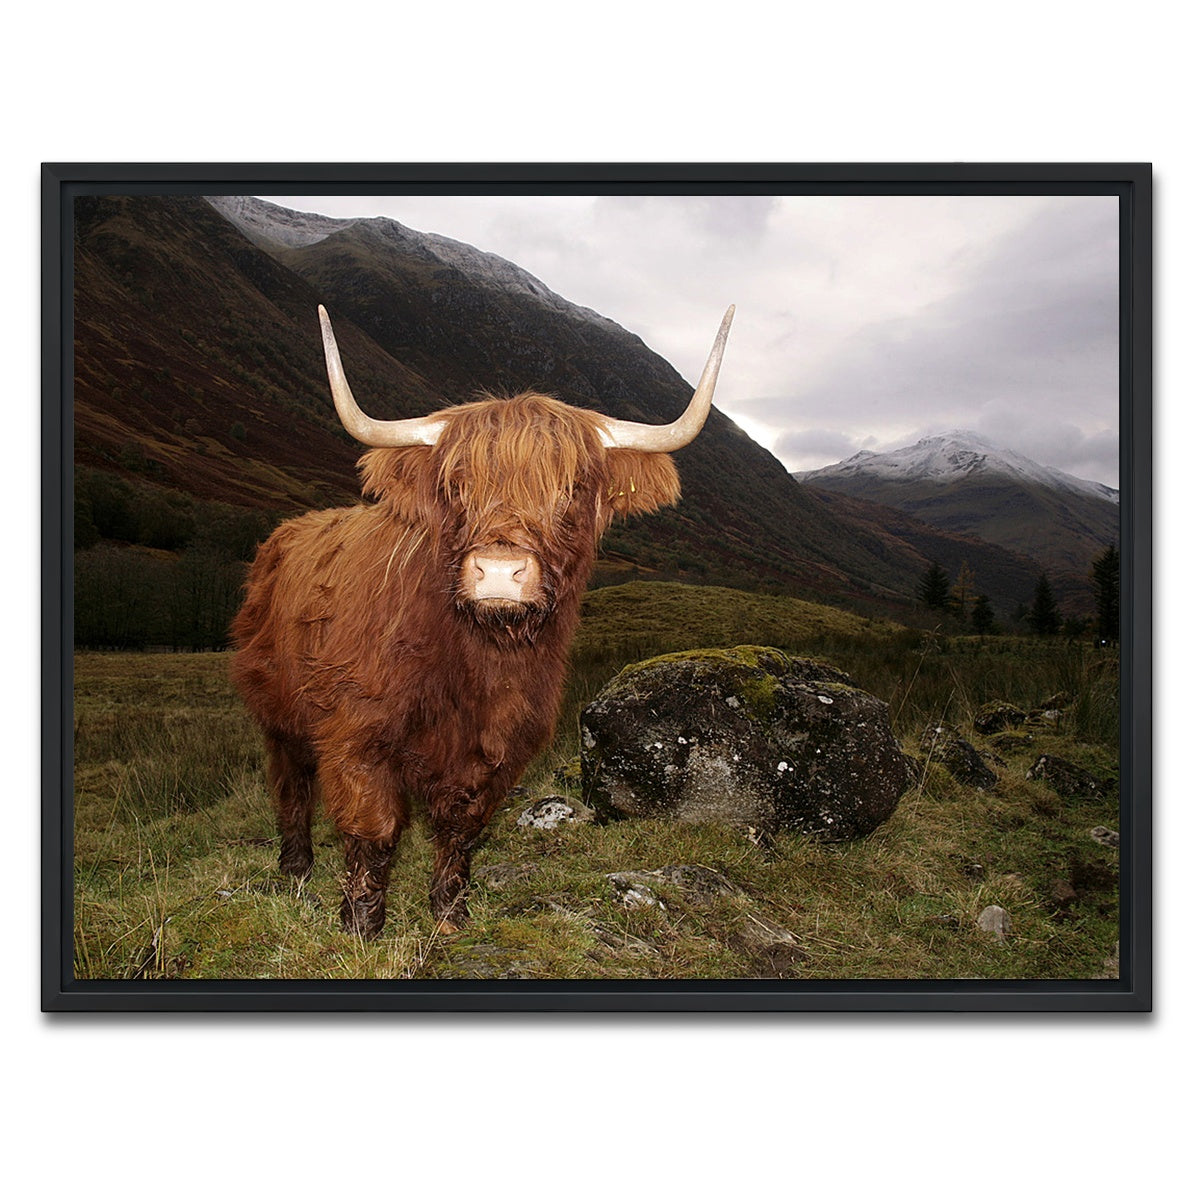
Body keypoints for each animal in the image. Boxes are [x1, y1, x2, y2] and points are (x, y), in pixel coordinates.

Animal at [231, 303, 734, 937]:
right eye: (455, 485)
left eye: (571, 488)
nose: (498, 571)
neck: (478, 662)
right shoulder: (356, 730)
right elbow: (373, 829)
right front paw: (360, 925)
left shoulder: (502, 744)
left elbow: (461, 828)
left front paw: (449, 914)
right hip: (277, 711)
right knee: (291, 786)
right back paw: (295, 868)